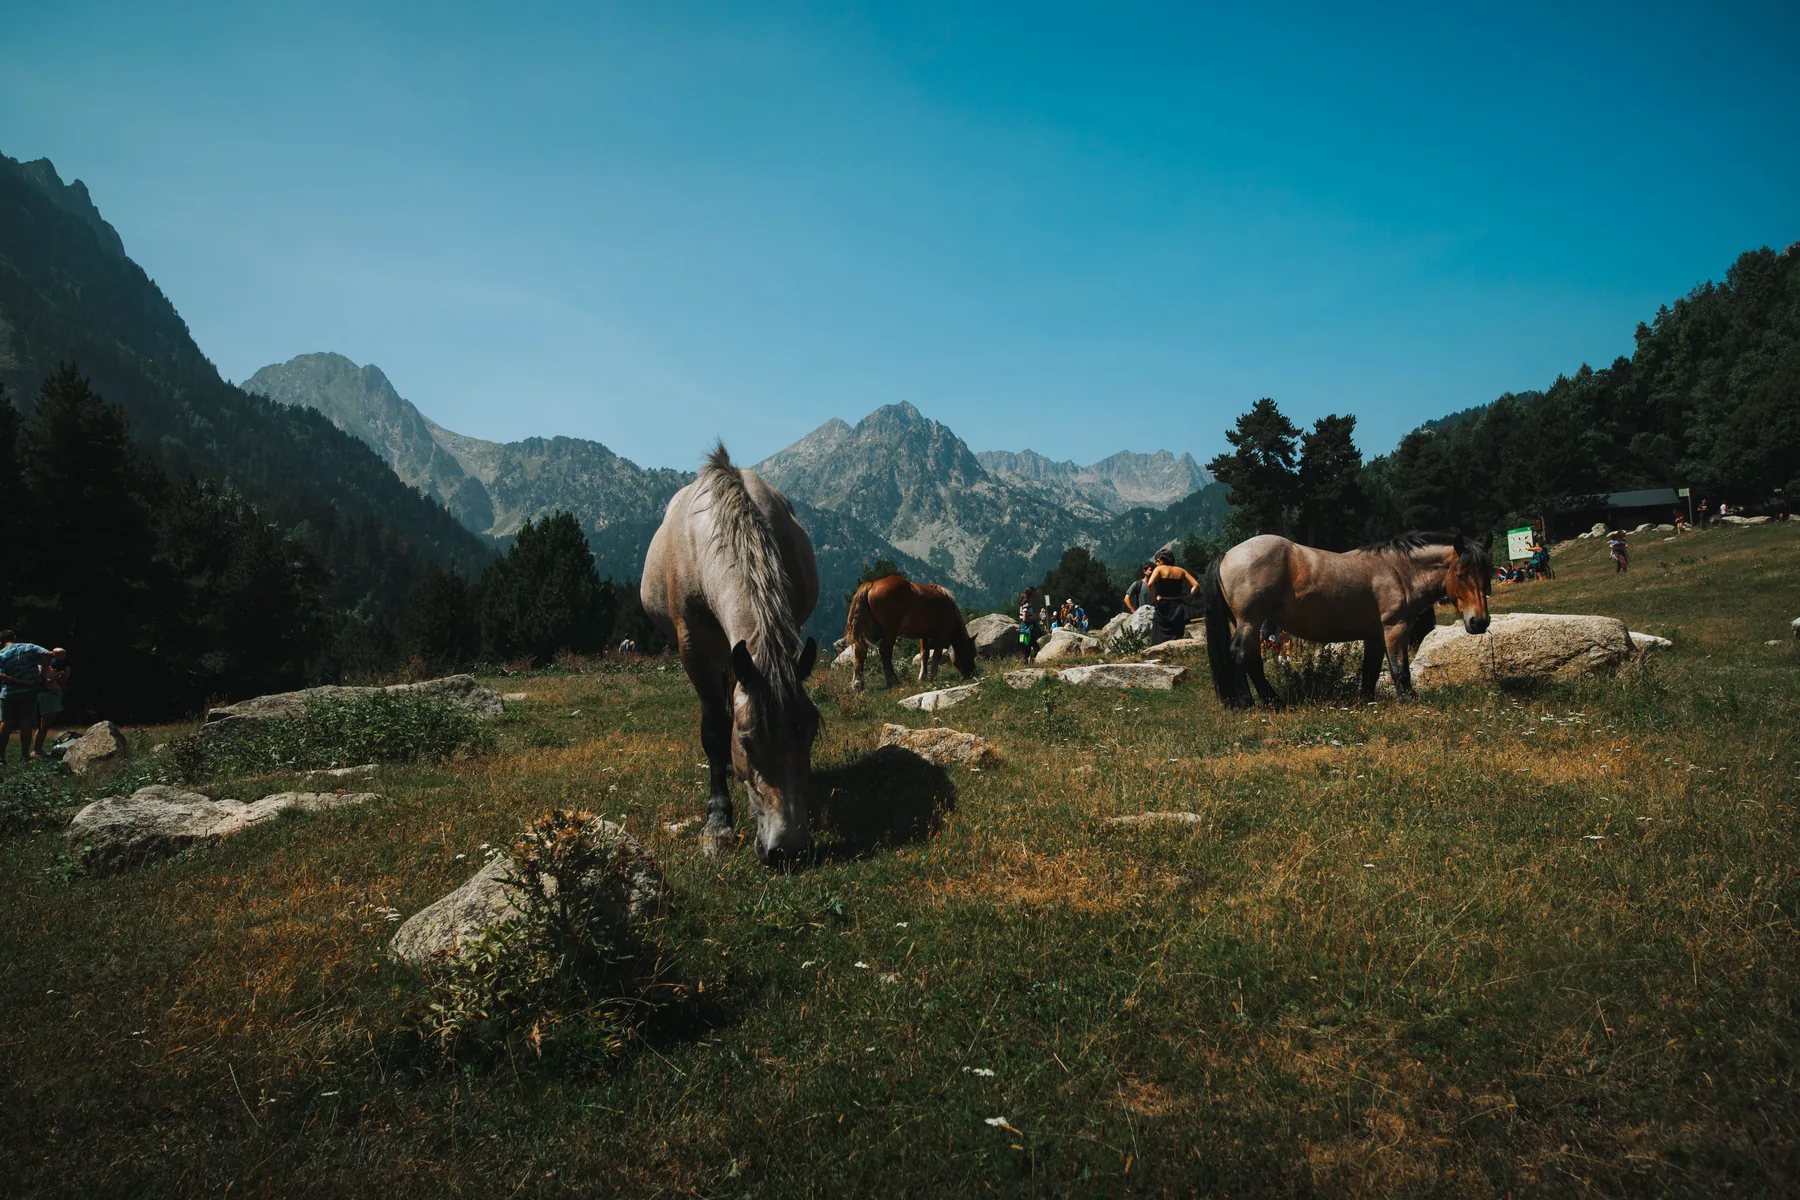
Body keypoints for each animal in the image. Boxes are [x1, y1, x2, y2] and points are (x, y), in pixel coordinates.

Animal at [641, 445, 821, 863]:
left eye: (811, 734)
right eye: (747, 741)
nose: (789, 849)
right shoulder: (694, 650)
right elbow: (713, 729)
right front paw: (718, 822)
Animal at [844, 575, 977, 691]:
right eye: (972, 653)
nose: (972, 674)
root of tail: (871, 585)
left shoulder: (924, 635)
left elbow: (925, 654)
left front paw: (923, 677)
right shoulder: (942, 634)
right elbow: (936, 655)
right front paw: (932, 677)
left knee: (860, 652)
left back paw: (858, 685)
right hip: (889, 631)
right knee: (884, 652)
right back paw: (893, 681)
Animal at [1203, 531, 1492, 707]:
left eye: (1486, 572)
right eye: (1461, 573)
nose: (1479, 622)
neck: (1398, 571)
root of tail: (1228, 554)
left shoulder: (1374, 636)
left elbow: (1371, 671)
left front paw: (1366, 701)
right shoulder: (1394, 628)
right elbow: (1400, 669)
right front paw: (1410, 700)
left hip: (1252, 623)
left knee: (1252, 661)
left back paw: (1273, 700)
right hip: (1250, 621)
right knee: (1240, 655)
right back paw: (1248, 703)